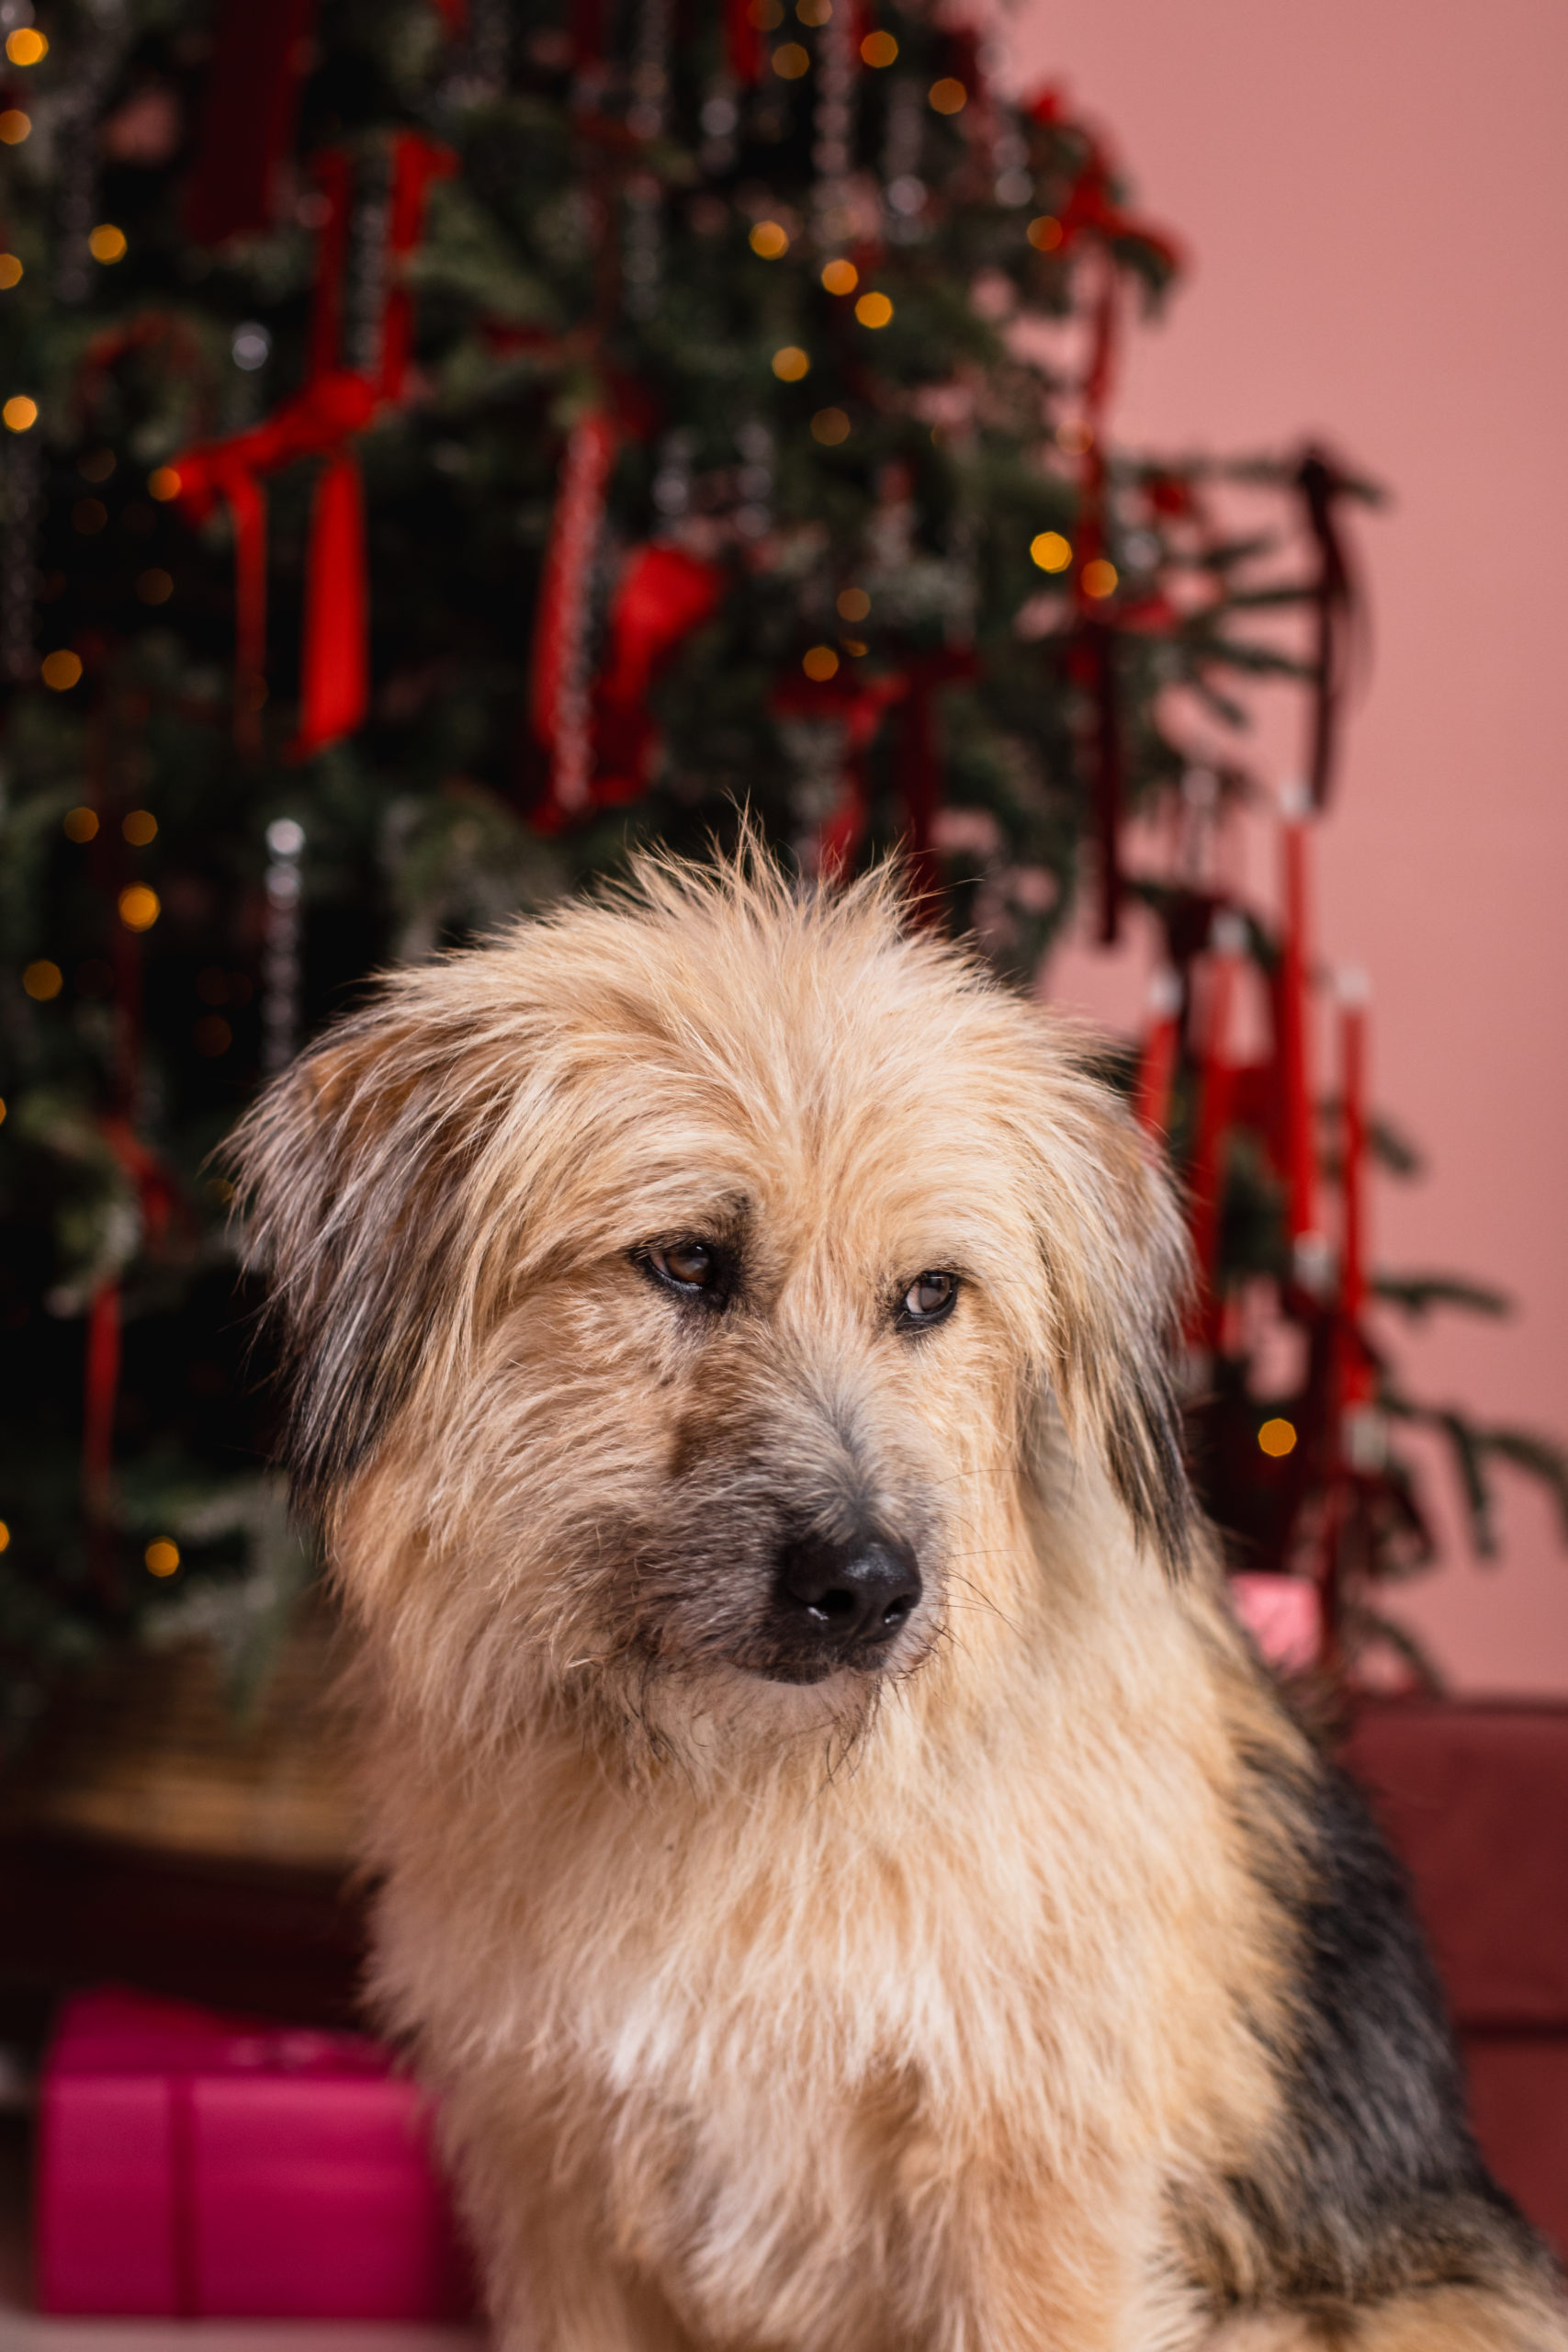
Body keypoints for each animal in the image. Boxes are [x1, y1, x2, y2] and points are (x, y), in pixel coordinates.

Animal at [233, 849, 1567, 2352]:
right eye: (685, 1260)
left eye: (930, 1292)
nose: (865, 1587)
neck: (745, 1785)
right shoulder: (557, 2188)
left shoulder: (1032, 2193)